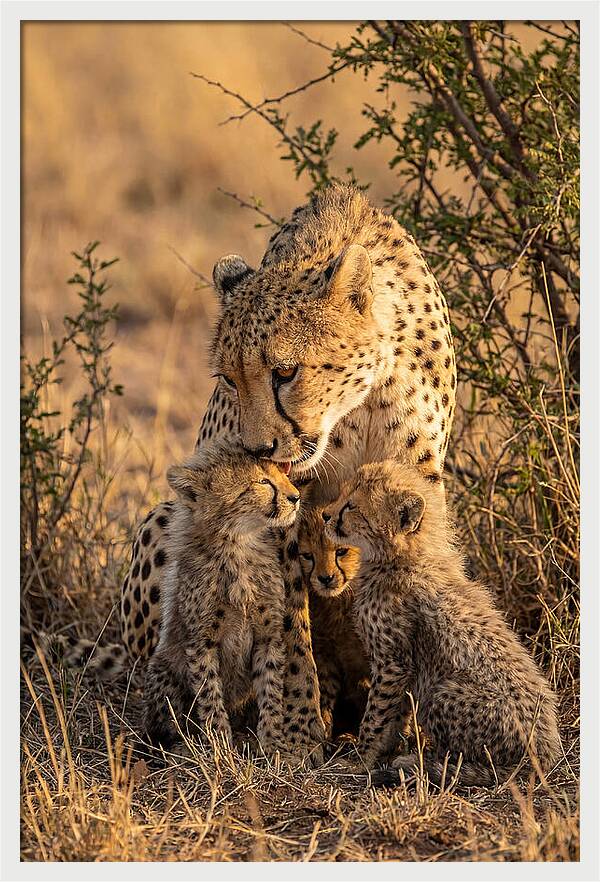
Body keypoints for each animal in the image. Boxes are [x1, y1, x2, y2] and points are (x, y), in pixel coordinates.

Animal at [143, 440, 301, 755]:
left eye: (281, 474)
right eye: (263, 482)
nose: (296, 497)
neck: (237, 546)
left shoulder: (268, 636)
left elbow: (271, 690)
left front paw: (272, 743)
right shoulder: (201, 642)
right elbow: (209, 694)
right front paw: (219, 745)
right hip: (163, 668)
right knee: (169, 719)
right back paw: (183, 745)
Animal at [298, 508, 369, 742]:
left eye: (342, 551)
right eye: (308, 556)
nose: (325, 578)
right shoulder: (326, 653)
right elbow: (324, 693)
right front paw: (324, 732)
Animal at [322, 460, 562, 787]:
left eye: (351, 506)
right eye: (342, 495)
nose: (325, 515)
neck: (403, 557)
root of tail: (545, 754)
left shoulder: (393, 663)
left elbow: (377, 716)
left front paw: (361, 759)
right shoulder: (403, 668)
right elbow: (394, 716)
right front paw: (383, 752)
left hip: (443, 691)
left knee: (472, 762)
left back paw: (422, 764)